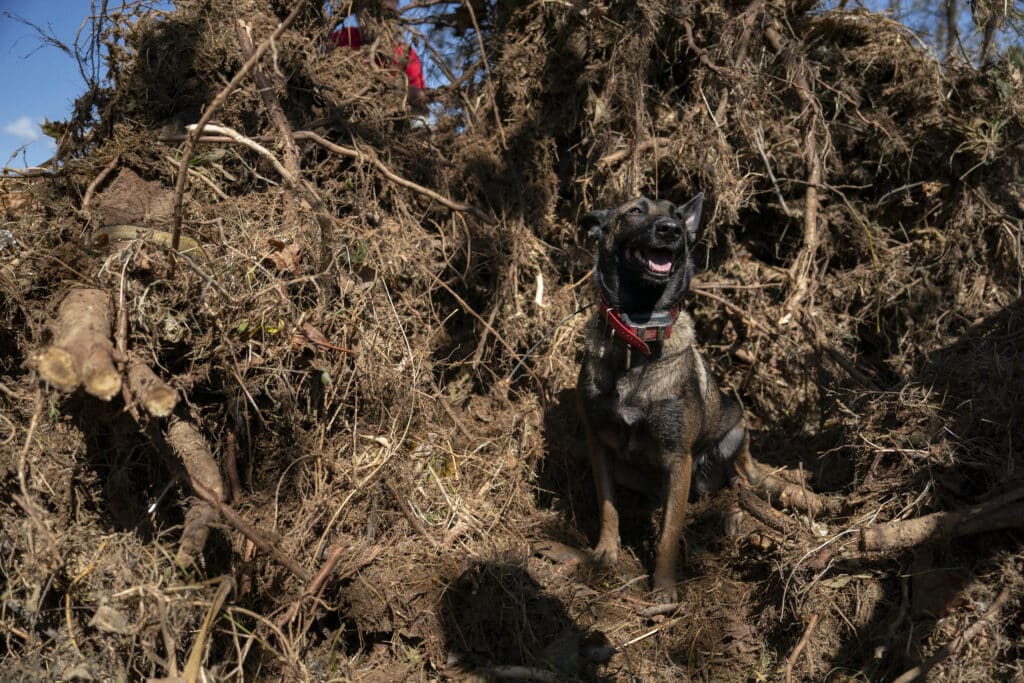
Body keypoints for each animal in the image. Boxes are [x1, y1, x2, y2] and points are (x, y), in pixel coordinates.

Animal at [577, 193, 753, 602]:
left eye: (675, 214)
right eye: (635, 211)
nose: (671, 230)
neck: (638, 337)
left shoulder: (678, 458)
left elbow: (670, 533)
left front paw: (664, 587)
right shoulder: (598, 442)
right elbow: (608, 505)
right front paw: (606, 552)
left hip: (735, 432)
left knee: (737, 478)